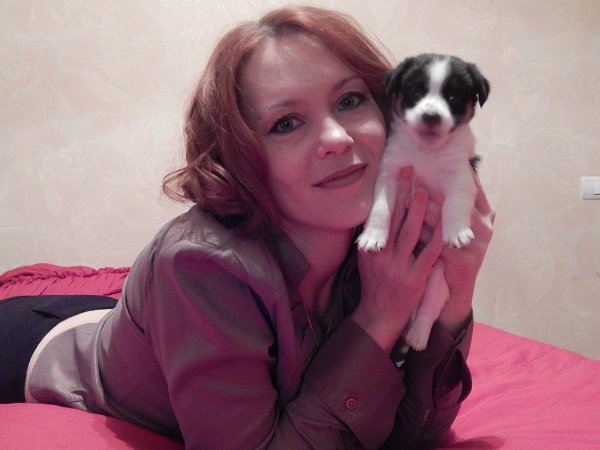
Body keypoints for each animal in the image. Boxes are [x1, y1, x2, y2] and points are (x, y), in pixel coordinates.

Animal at [357, 53, 490, 350]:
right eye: (415, 92)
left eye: (453, 97)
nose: (431, 116)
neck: (426, 151)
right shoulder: (389, 172)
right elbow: (380, 208)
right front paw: (373, 236)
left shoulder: (460, 174)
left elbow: (454, 202)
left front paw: (456, 232)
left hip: (439, 278)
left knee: (429, 309)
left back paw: (417, 336)